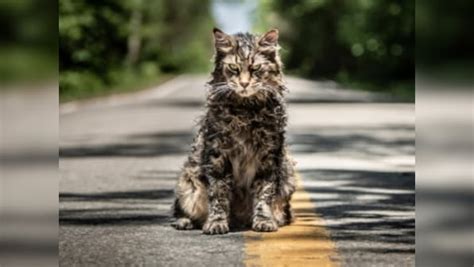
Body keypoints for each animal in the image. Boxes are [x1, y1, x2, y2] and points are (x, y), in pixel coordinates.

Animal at [170, 28, 296, 236]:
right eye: (234, 68)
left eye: (255, 68)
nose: (244, 84)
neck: (245, 110)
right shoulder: (218, 156)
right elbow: (218, 194)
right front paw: (216, 223)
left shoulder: (268, 157)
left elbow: (264, 193)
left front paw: (264, 221)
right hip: (188, 182)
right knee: (181, 210)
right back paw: (185, 221)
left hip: (288, 176)